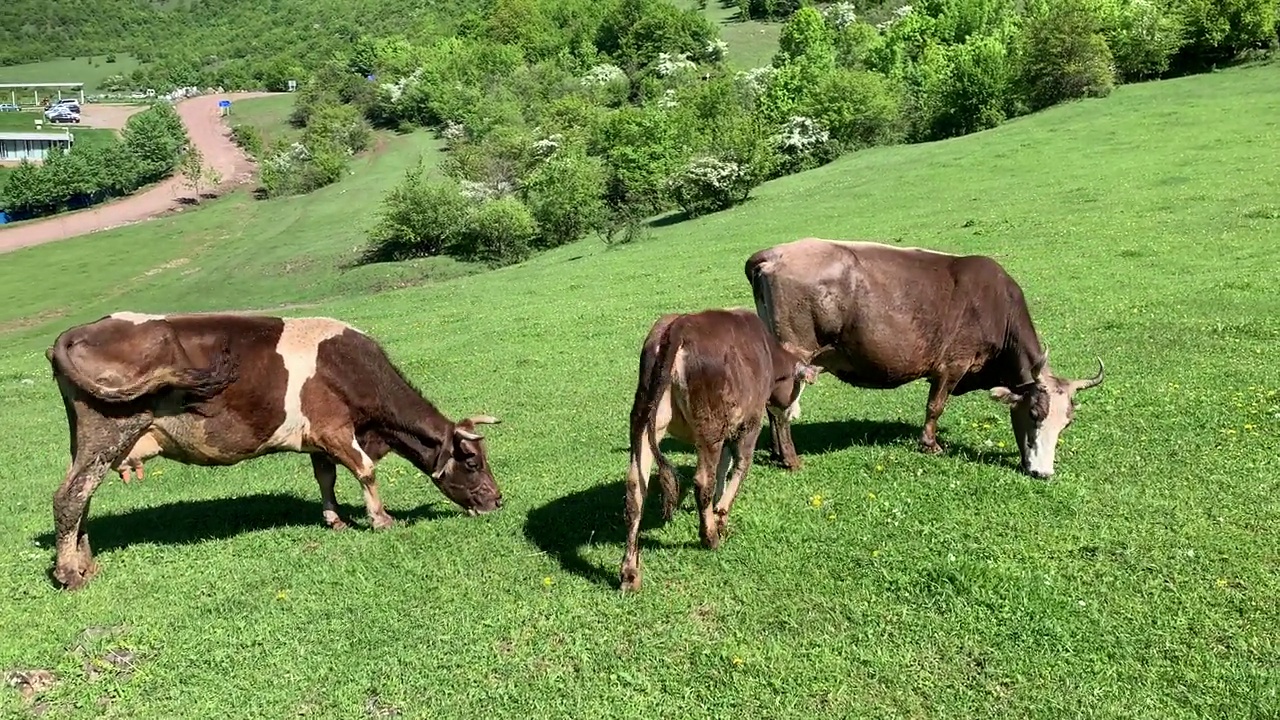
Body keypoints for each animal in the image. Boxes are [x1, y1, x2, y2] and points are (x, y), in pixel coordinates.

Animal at [45, 310, 504, 589]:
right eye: (471, 460)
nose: (497, 501)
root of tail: (78, 330)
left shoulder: (319, 440)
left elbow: (326, 478)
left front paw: (335, 519)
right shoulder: (336, 429)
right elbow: (365, 470)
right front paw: (381, 519)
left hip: (87, 440)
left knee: (82, 499)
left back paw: (85, 562)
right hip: (110, 430)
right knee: (71, 497)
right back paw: (70, 574)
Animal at [619, 304, 819, 591]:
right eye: (799, 385)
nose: (796, 412)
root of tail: (678, 327)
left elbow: (723, 468)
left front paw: (716, 506)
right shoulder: (749, 422)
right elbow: (741, 465)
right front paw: (721, 515)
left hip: (644, 418)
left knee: (636, 487)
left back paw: (630, 572)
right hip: (709, 425)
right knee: (703, 480)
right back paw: (710, 537)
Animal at [747, 238, 1105, 479]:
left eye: (1067, 422)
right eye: (1034, 413)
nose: (1043, 473)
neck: (996, 307)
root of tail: (772, 254)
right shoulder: (953, 364)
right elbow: (935, 406)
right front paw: (930, 444)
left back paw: (777, 453)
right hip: (796, 354)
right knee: (780, 408)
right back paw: (791, 459)